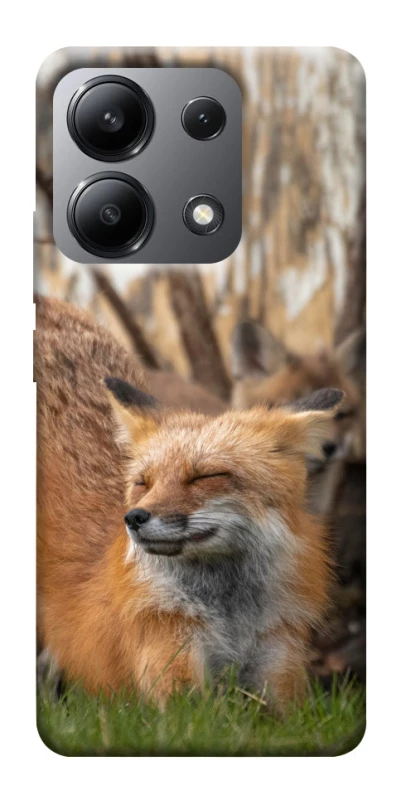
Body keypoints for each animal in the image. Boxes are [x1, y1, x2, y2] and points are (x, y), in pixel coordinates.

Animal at [36, 296, 344, 708]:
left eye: (204, 476)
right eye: (143, 483)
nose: (133, 518)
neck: (230, 618)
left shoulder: (280, 666)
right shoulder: (171, 667)